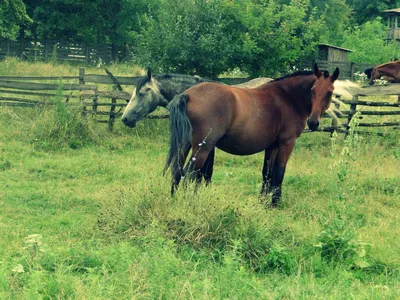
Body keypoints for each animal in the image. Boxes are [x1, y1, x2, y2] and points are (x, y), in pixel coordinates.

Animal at [164, 64, 340, 205]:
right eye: (312, 90)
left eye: (329, 93)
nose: (313, 123)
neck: (287, 98)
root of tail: (188, 94)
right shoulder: (286, 144)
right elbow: (279, 173)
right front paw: (275, 203)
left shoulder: (272, 147)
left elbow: (267, 173)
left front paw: (262, 201)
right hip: (203, 148)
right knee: (189, 174)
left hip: (185, 144)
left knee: (177, 171)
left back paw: (174, 200)